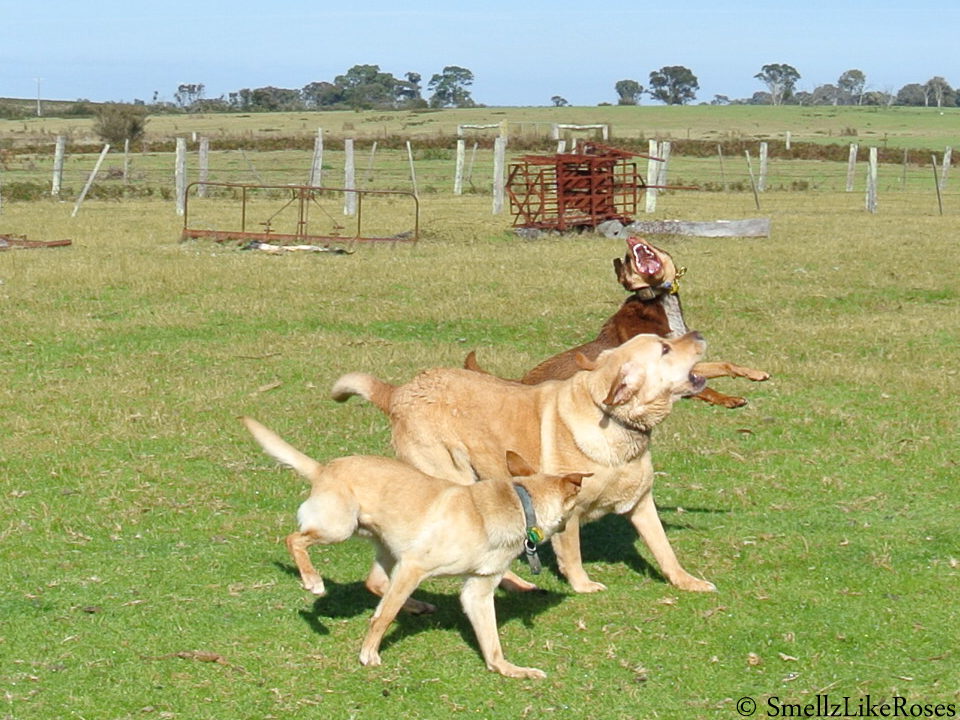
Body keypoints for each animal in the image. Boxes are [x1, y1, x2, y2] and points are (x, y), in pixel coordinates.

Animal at [242, 420, 584, 676]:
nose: (575, 524)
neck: (519, 505)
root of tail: (324, 469)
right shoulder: (414, 565)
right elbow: (383, 617)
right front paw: (368, 652)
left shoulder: (477, 590)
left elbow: (491, 641)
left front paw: (508, 669)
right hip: (339, 528)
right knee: (295, 539)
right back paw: (312, 580)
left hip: (383, 546)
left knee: (375, 583)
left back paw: (418, 605)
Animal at [334, 332, 716, 596]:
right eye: (665, 348)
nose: (697, 333)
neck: (616, 423)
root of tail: (398, 392)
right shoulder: (569, 511)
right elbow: (573, 555)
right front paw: (583, 585)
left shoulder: (640, 503)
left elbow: (664, 549)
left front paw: (687, 581)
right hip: (454, 479)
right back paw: (515, 583)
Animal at [468, 235, 768, 404]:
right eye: (627, 259)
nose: (630, 240)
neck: (658, 300)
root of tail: (519, 382)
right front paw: (728, 399)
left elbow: (723, 365)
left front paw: (754, 374)